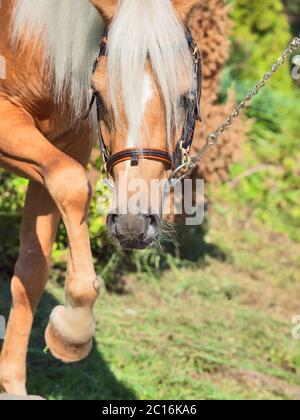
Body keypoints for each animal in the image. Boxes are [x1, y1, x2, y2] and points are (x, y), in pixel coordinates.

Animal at [0, 0, 202, 396]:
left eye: (185, 98)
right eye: (101, 93)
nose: (133, 225)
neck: (26, 36)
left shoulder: (65, 145)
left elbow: (32, 268)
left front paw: (14, 385)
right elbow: (74, 184)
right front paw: (74, 329)